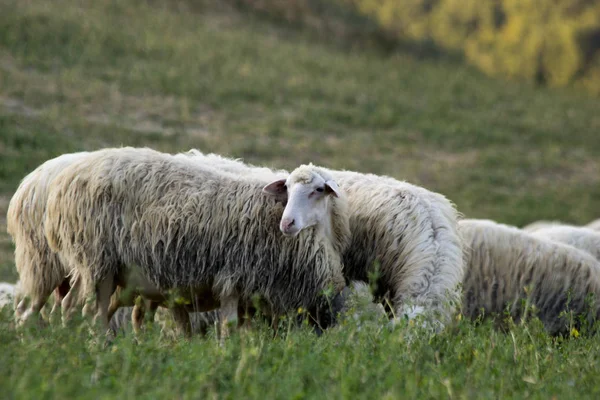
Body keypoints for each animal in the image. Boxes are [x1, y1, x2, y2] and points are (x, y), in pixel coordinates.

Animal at [44, 145, 352, 336]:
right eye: (286, 188)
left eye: (318, 190)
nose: (287, 223)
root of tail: (63, 180)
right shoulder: (232, 280)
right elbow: (228, 327)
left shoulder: (251, 296)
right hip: (96, 258)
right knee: (80, 309)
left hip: (102, 268)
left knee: (84, 310)